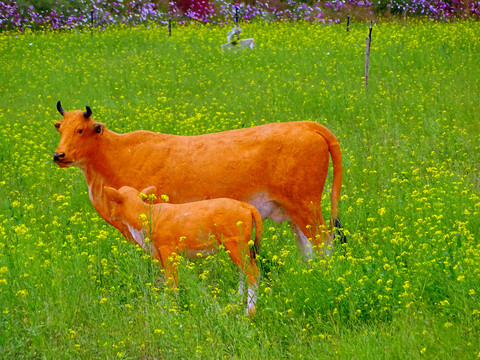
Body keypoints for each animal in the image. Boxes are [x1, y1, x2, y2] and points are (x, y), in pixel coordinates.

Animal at [54, 101, 344, 256]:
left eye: (80, 130)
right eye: (60, 129)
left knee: (325, 246)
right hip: (294, 212)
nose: (59, 155)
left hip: (307, 208)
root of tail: (306, 125)